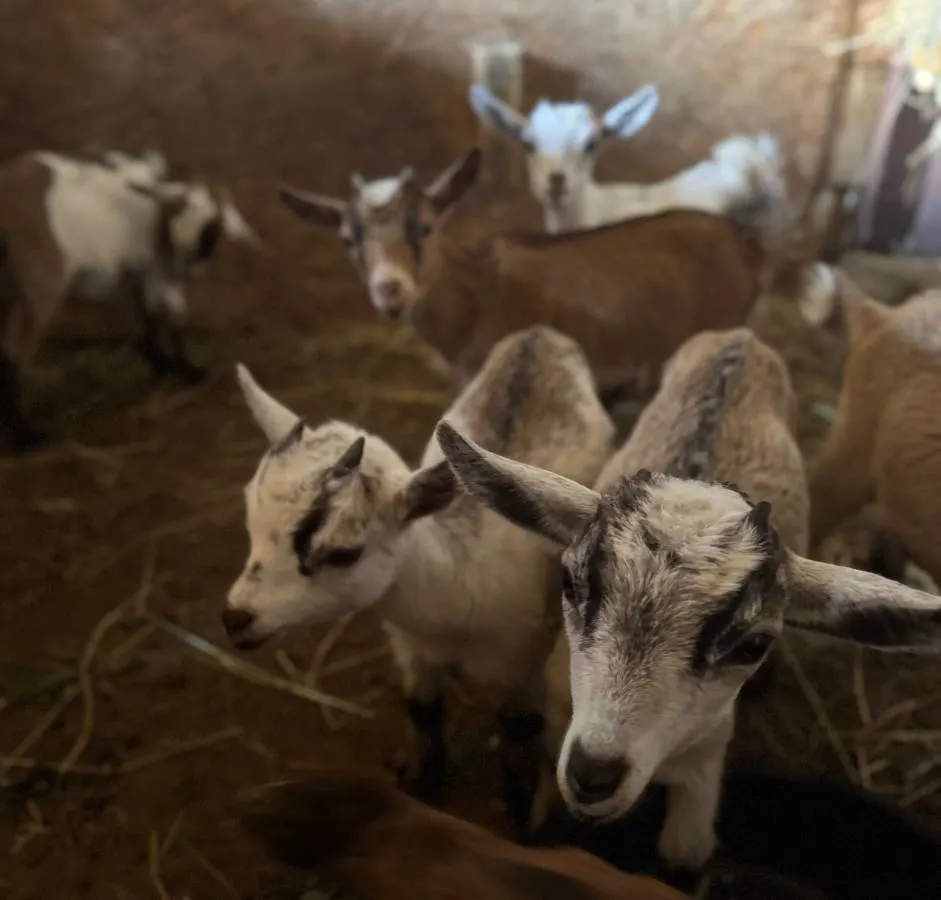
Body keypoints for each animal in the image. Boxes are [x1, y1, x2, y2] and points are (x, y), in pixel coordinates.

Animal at [0, 149, 259, 450]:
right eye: (184, 213)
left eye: (214, 225)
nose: (192, 262)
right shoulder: (160, 272)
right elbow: (171, 317)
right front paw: (188, 369)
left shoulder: (141, 273)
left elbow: (148, 315)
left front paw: (159, 361)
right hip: (40, 284)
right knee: (14, 353)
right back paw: (25, 436)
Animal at [224, 325, 614, 817]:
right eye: (250, 520)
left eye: (343, 553)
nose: (236, 617)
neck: (457, 588)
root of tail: (539, 333)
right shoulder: (410, 648)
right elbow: (422, 712)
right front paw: (422, 784)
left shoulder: (526, 661)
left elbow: (519, 726)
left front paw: (515, 802)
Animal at [436, 325, 941, 873]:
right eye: (570, 583)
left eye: (753, 645)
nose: (593, 776)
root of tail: (743, 336)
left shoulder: (707, 760)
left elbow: (683, 854)